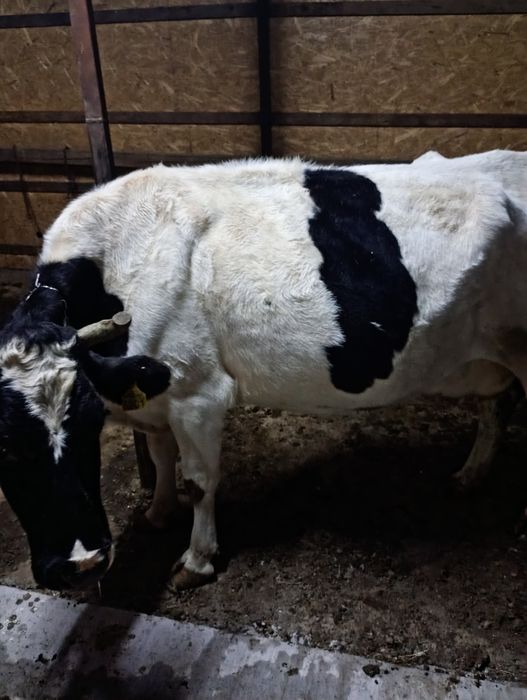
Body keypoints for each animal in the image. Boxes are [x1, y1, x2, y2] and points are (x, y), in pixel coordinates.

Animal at [0, 149, 525, 591]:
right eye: (5, 449)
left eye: (89, 426)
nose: (81, 565)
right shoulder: (154, 388)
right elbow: (161, 454)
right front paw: (158, 510)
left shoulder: (198, 393)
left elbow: (199, 480)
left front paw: (196, 560)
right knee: (497, 405)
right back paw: (469, 475)